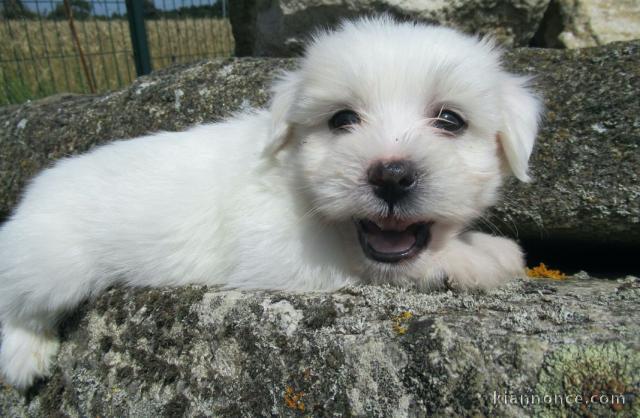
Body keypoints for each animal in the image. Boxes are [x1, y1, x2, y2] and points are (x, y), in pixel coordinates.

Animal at [0, 17, 540, 388]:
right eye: (342, 119)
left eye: (450, 120)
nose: (391, 176)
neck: (294, 177)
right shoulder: (287, 254)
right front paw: (468, 260)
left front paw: (483, 245)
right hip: (53, 264)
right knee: (17, 300)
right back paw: (25, 354)